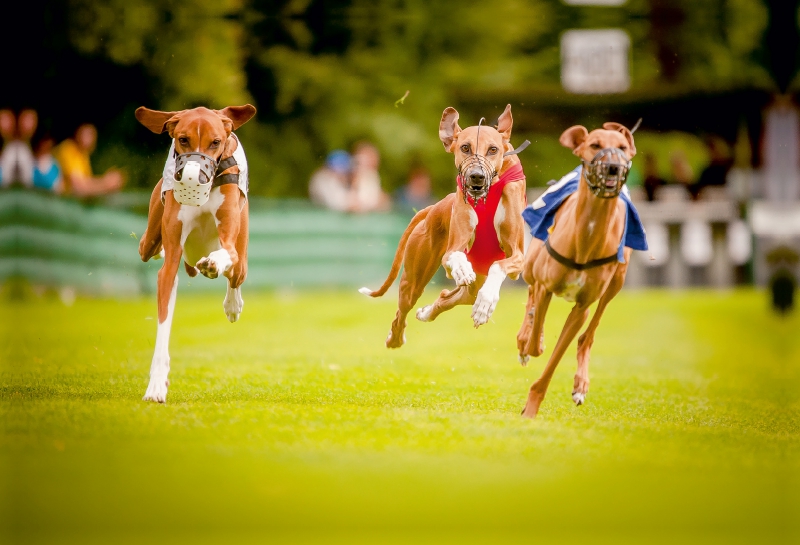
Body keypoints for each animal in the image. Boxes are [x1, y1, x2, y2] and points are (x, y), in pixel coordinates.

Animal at [133, 104, 255, 402]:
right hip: (150, 237)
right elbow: (163, 325)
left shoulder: (230, 243)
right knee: (147, 247)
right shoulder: (169, 266)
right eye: (183, 139)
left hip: (242, 254)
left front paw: (212, 265)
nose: (194, 176)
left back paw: (232, 304)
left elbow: (226, 255)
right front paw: (156, 385)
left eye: (216, 142)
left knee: (236, 274)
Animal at [360, 104, 528, 346]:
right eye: (465, 147)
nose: (476, 176)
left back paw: (432, 311)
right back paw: (396, 337)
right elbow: (454, 256)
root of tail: (434, 208)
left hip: (474, 284)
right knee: (403, 311)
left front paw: (486, 304)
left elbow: (499, 266)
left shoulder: (517, 256)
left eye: (493, 149)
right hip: (414, 279)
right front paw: (461, 269)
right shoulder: (454, 247)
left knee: (454, 296)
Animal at [516, 122, 648, 416]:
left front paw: (532, 405)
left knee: (588, 335)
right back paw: (525, 334)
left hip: (616, 282)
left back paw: (581, 383)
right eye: (595, 144)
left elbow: (559, 351)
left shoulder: (582, 307)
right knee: (531, 291)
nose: (613, 167)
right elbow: (537, 342)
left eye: (622, 147)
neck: (587, 234)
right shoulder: (546, 286)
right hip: (531, 265)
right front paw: (530, 341)